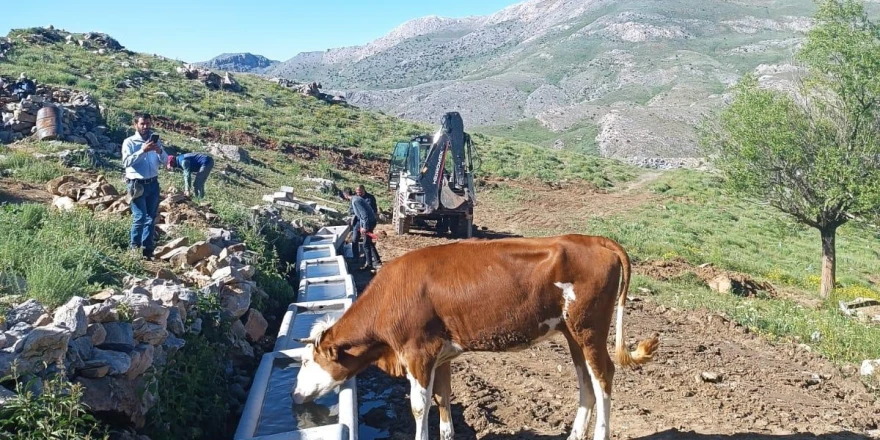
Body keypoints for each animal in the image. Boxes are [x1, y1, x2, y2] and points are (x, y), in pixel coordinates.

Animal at [292, 234, 656, 440]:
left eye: (308, 362)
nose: (294, 395)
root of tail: (594, 239)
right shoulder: (440, 354)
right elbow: (443, 398)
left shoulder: (417, 352)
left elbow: (419, 406)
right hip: (573, 333)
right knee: (586, 384)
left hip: (590, 328)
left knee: (604, 377)